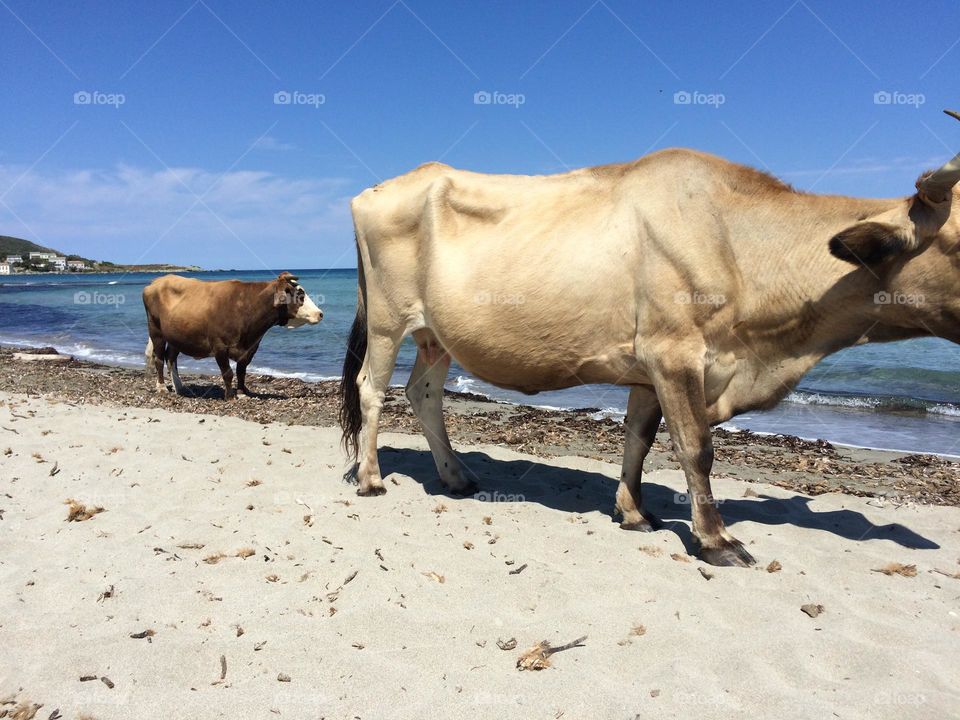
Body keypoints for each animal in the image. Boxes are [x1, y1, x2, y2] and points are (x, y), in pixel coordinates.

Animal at [143, 272, 322, 400]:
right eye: (300, 295)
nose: (320, 313)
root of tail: (156, 281)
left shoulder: (250, 348)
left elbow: (241, 371)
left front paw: (242, 392)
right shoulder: (219, 346)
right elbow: (228, 372)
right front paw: (230, 396)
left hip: (177, 336)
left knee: (171, 357)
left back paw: (179, 387)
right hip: (156, 330)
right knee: (159, 358)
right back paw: (161, 387)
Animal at [338, 109, 960, 564]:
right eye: (956, 243)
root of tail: (377, 189)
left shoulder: (648, 367)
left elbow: (638, 438)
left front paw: (633, 512)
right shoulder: (675, 353)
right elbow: (696, 447)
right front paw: (716, 539)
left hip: (436, 333)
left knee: (423, 393)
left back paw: (457, 476)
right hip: (390, 318)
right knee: (373, 388)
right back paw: (370, 478)